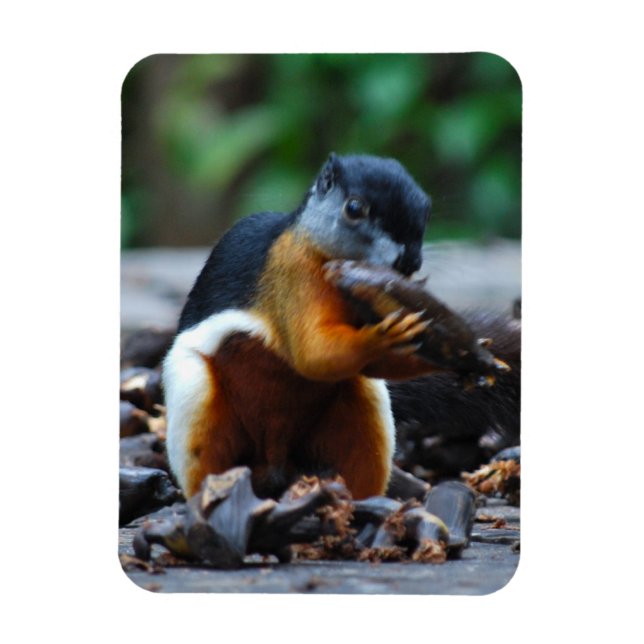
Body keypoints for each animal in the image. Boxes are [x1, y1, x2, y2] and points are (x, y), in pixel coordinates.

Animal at [162, 153, 448, 500]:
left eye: (427, 209)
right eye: (354, 208)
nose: (410, 263)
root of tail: (274, 458)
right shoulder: (291, 277)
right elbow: (313, 353)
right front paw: (384, 336)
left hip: (361, 411)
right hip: (196, 395)